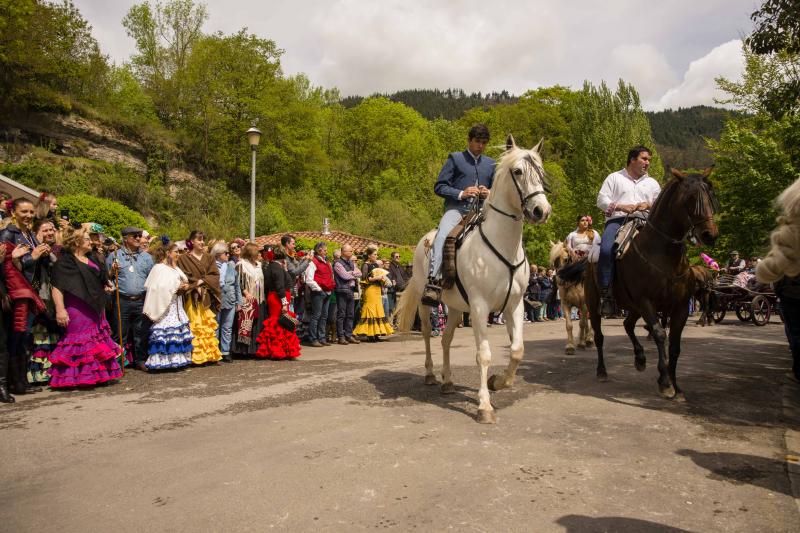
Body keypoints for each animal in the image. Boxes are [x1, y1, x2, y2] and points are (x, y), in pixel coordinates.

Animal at [394, 135, 552, 424]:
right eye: (518, 171)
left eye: (540, 171)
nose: (541, 211)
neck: (503, 245)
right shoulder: (479, 307)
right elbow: (484, 355)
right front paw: (484, 407)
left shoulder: (514, 305)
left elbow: (517, 350)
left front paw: (498, 382)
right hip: (426, 303)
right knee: (427, 334)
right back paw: (431, 374)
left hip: (456, 307)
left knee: (445, 339)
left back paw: (447, 381)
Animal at [584, 168, 719, 399]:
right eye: (691, 198)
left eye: (710, 194)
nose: (709, 234)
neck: (663, 254)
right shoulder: (647, 302)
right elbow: (659, 334)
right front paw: (664, 382)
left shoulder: (680, 307)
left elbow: (674, 345)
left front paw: (675, 385)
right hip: (595, 304)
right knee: (600, 336)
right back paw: (602, 371)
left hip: (633, 306)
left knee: (628, 325)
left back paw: (640, 359)